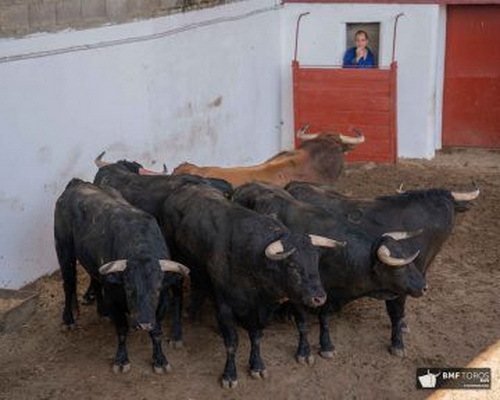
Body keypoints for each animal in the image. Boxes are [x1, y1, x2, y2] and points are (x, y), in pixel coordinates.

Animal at [54, 179, 189, 373]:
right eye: (129, 288)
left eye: (156, 289)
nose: (144, 324)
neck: (140, 246)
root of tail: (77, 183)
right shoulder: (114, 300)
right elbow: (122, 330)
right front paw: (121, 360)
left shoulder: (162, 302)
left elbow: (157, 331)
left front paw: (160, 360)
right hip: (64, 250)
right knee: (69, 283)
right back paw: (68, 320)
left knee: (95, 280)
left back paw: (102, 312)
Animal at [159, 182, 344, 388]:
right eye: (292, 266)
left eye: (315, 261)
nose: (319, 297)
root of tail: (182, 189)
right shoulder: (224, 306)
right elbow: (232, 343)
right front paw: (229, 375)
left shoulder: (260, 309)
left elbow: (256, 337)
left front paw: (256, 365)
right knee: (177, 296)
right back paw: (177, 335)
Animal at [232, 181, 428, 362]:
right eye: (400, 267)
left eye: (406, 257)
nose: (424, 287)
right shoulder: (303, 293)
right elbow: (307, 322)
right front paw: (308, 351)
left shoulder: (326, 295)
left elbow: (324, 318)